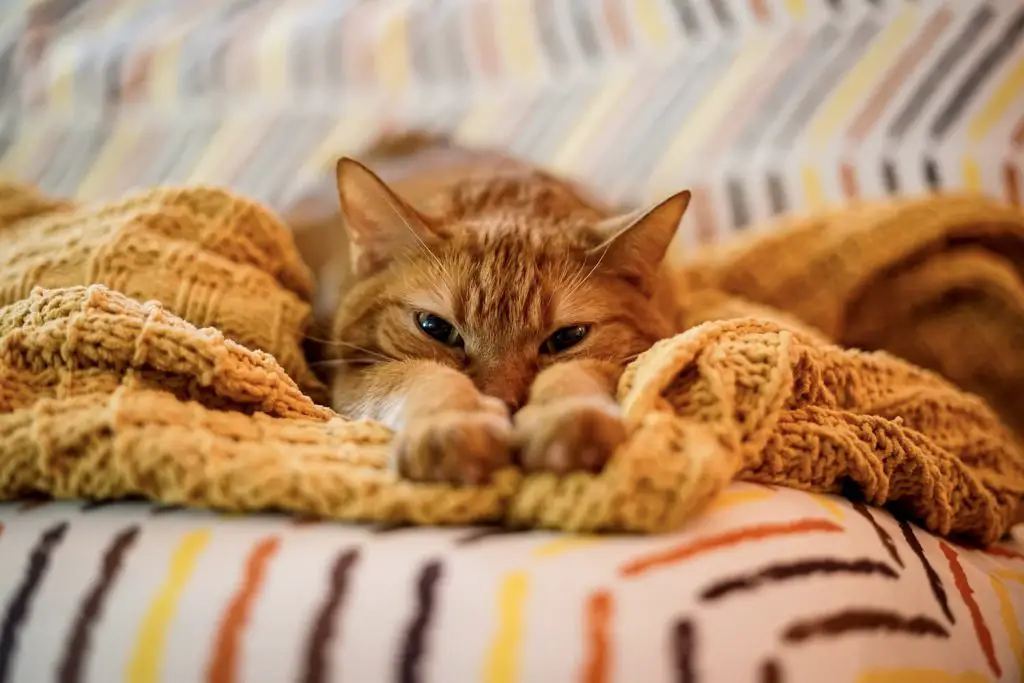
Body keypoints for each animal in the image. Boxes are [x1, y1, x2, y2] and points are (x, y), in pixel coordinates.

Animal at [294, 135, 688, 485]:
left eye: (567, 338)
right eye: (434, 327)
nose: (502, 401)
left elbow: (577, 372)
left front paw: (569, 416)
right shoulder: (353, 372)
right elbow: (420, 374)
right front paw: (453, 424)